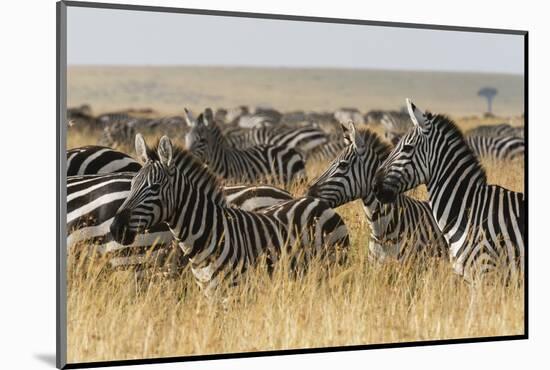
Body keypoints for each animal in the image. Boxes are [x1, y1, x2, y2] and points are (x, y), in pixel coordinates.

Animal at [108, 134, 350, 294]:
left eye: (155, 187)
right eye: (132, 184)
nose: (115, 228)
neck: (207, 233)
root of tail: (319, 202)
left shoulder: (232, 292)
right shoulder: (209, 293)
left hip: (333, 268)